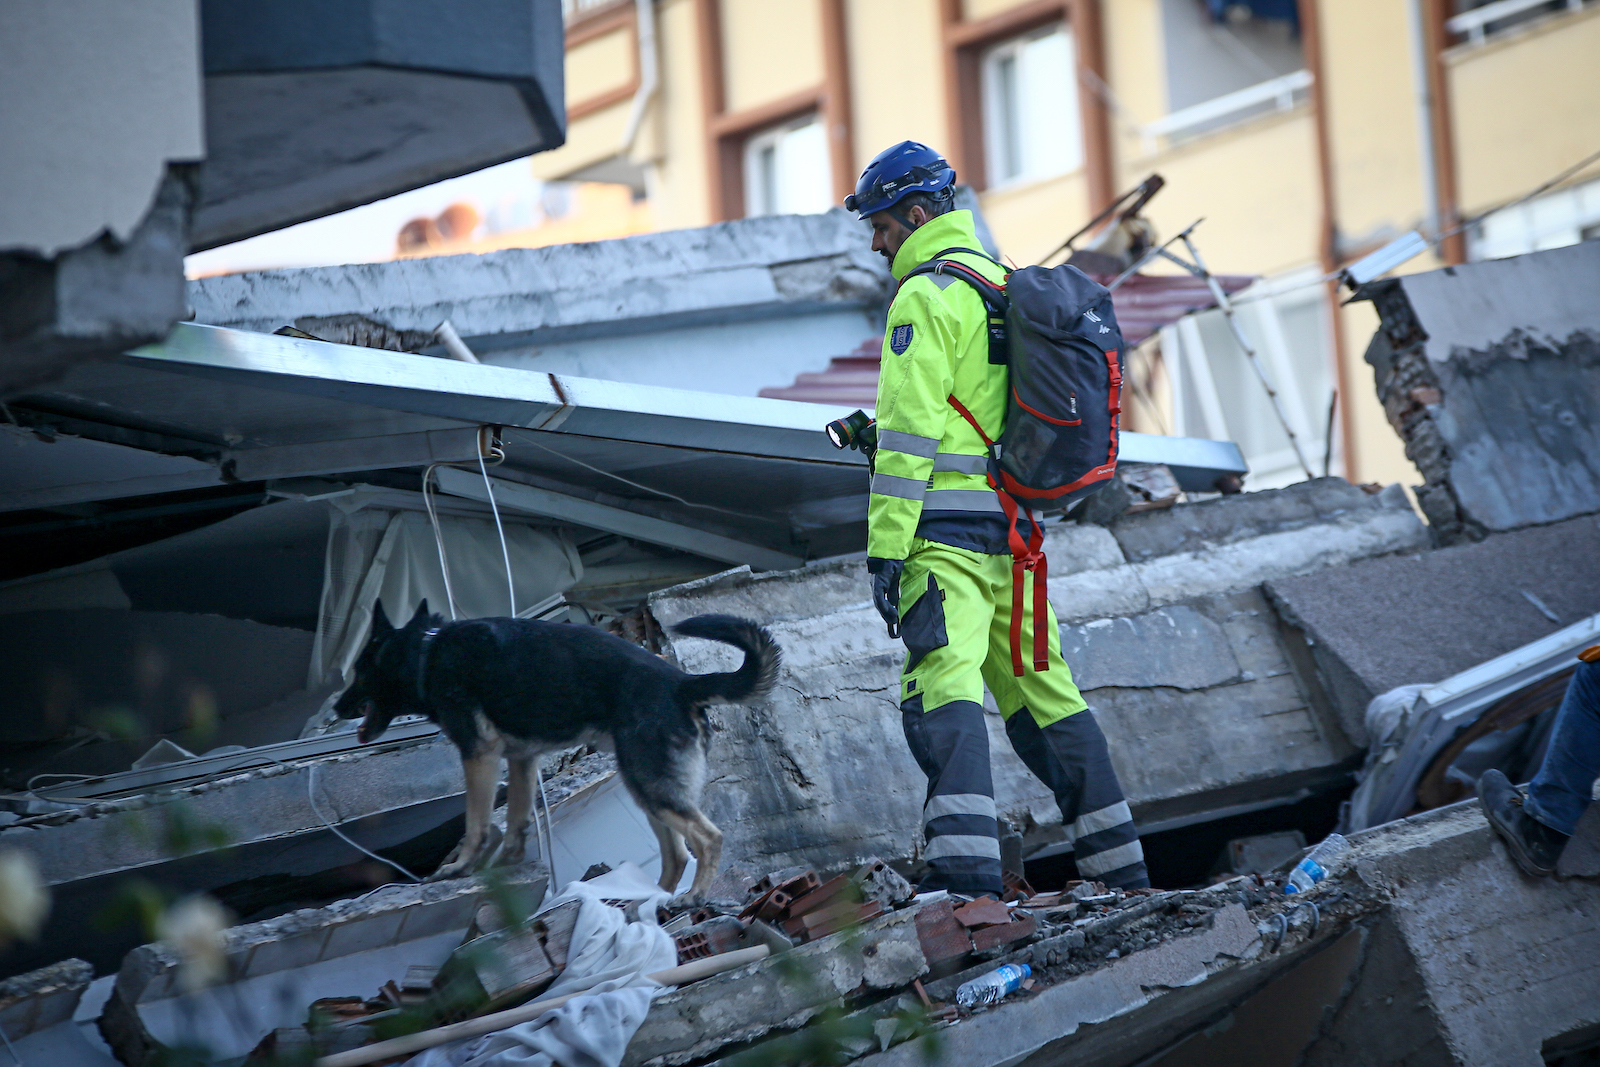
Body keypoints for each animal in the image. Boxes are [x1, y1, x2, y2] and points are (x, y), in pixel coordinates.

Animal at [337, 601, 780, 902]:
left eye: (358, 671)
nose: (336, 708)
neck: (426, 653)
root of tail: (682, 683)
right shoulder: (520, 760)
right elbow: (515, 822)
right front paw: (507, 864)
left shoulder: (479, 755)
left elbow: (476, 823)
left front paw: (460, 867)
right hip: (644, 788)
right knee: (675, 857)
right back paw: (639, 904)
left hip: (649, 785)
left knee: (709, 838)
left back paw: (694, 896)